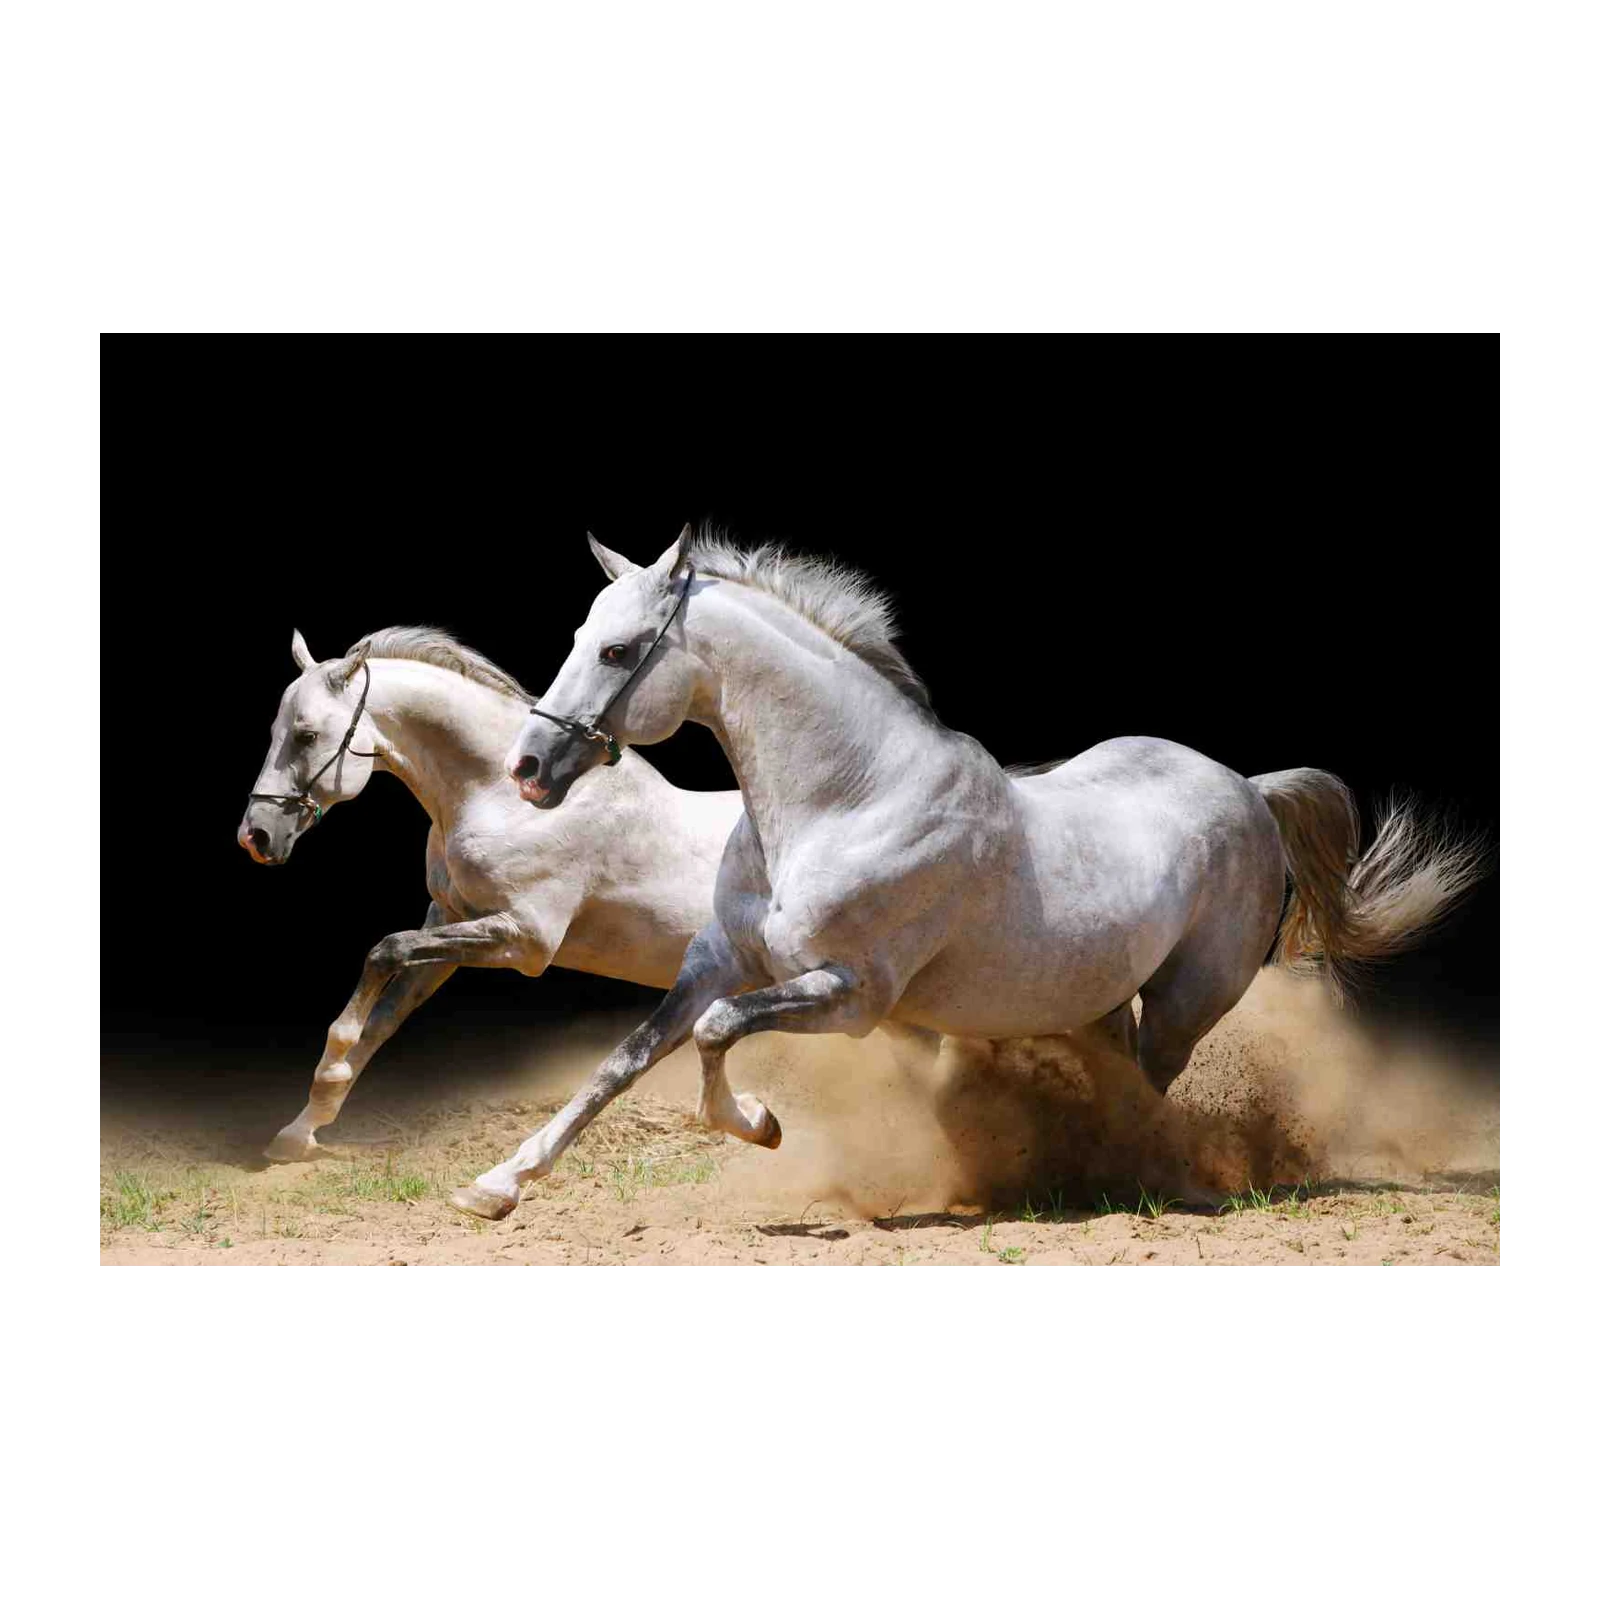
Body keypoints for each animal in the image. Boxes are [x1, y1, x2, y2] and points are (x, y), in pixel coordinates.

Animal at [447, 527, 1485, 1220]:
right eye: (578, 636)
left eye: (617, 650)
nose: (530, 769)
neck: (847, 798)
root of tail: (1248, 789)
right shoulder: (717, 962)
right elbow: (625, 1061)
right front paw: (495, 1187)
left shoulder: (851, 995)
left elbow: (714, 1035)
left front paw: (764, 1125)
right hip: (1097, 1000)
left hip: (1187, 1002)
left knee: (1152, 1091)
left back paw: (1138, 1176)